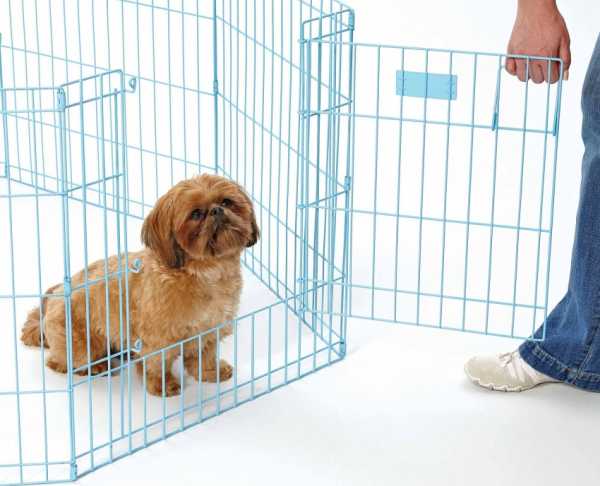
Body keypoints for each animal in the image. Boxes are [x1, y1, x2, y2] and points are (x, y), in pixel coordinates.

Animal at [21, 174, 259, 396]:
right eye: (196, 214)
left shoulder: (210, 329)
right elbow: (157, 362)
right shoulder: (159, 338)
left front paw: (211, 372)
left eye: (227, 201)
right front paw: (162, 385)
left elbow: (204, 355)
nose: (217, 210)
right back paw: (96, 366)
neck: (206, 272)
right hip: (82, 344)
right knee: (61, 362)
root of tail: (52, 300)